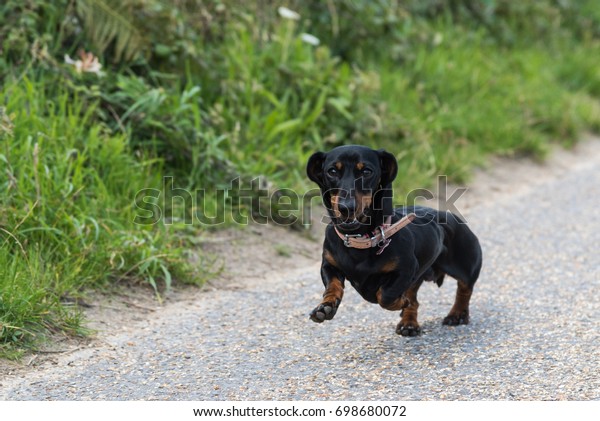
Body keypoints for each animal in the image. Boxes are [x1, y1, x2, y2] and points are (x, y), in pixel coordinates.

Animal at [308, 144, 486, 334]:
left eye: (367, 171)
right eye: (332, 171)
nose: (346, 207)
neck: (360, 239)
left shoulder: (406, 270)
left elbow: (385, 295)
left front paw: (400, 302)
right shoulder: (329, 265)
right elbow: (333, 285)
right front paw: (326, 306)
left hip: (467, 265)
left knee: (465, 289)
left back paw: (457, 314)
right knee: (415, 298)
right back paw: (409, 323)